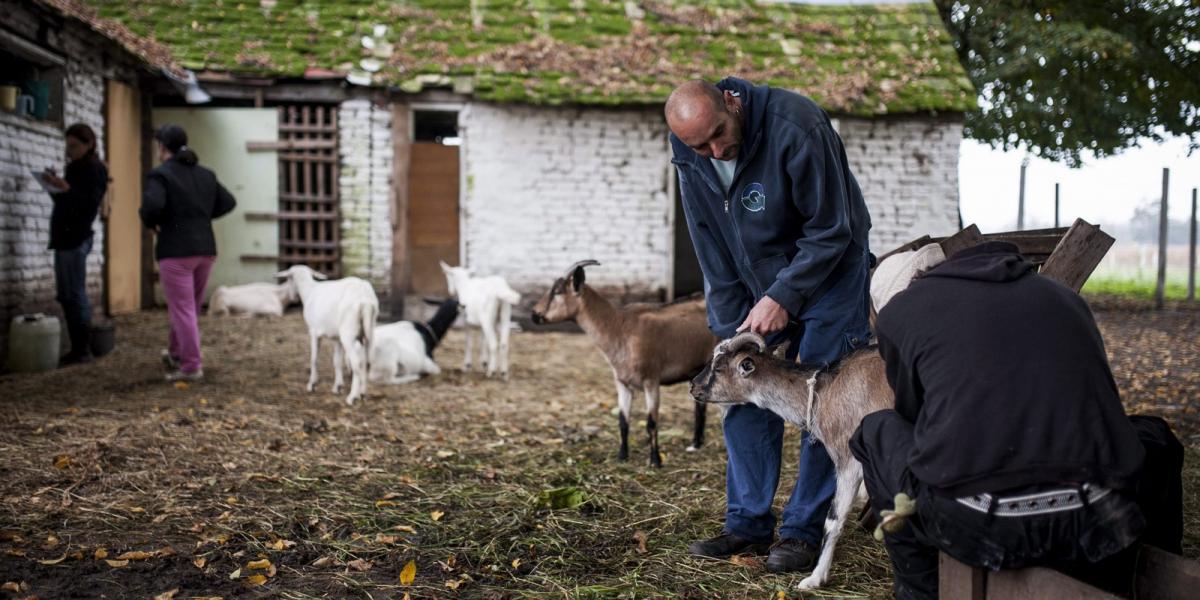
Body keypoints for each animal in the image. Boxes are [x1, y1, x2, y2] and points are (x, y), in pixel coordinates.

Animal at [277, 266, 379, 403]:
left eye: (289, 278)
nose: (293, 298)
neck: (309, 291)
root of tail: (365, 300)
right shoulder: (337, 339)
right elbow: (337, 361)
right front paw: (337, 387)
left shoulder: (314, 332)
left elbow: (314, 358)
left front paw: (312, 385)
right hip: (368, 332)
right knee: (366, 362)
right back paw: (362, 393)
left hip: (348, 334)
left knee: (356, 363)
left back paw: (352, 397)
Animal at [532, 260, 715, 465]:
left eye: (557, 291)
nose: (534, 314)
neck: (619, 328)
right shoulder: (622, 383)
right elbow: (623, 421)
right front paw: (622, 456)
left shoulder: (651, 380)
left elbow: (651, 422)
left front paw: (655, 460)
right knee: (700, 406)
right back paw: (695, 444)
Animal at [691, 333, 897, 590]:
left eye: (718, 367)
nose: (693, 386)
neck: (824, 391)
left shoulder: (848, 461)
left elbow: (833, 520)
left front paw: (815, 579)